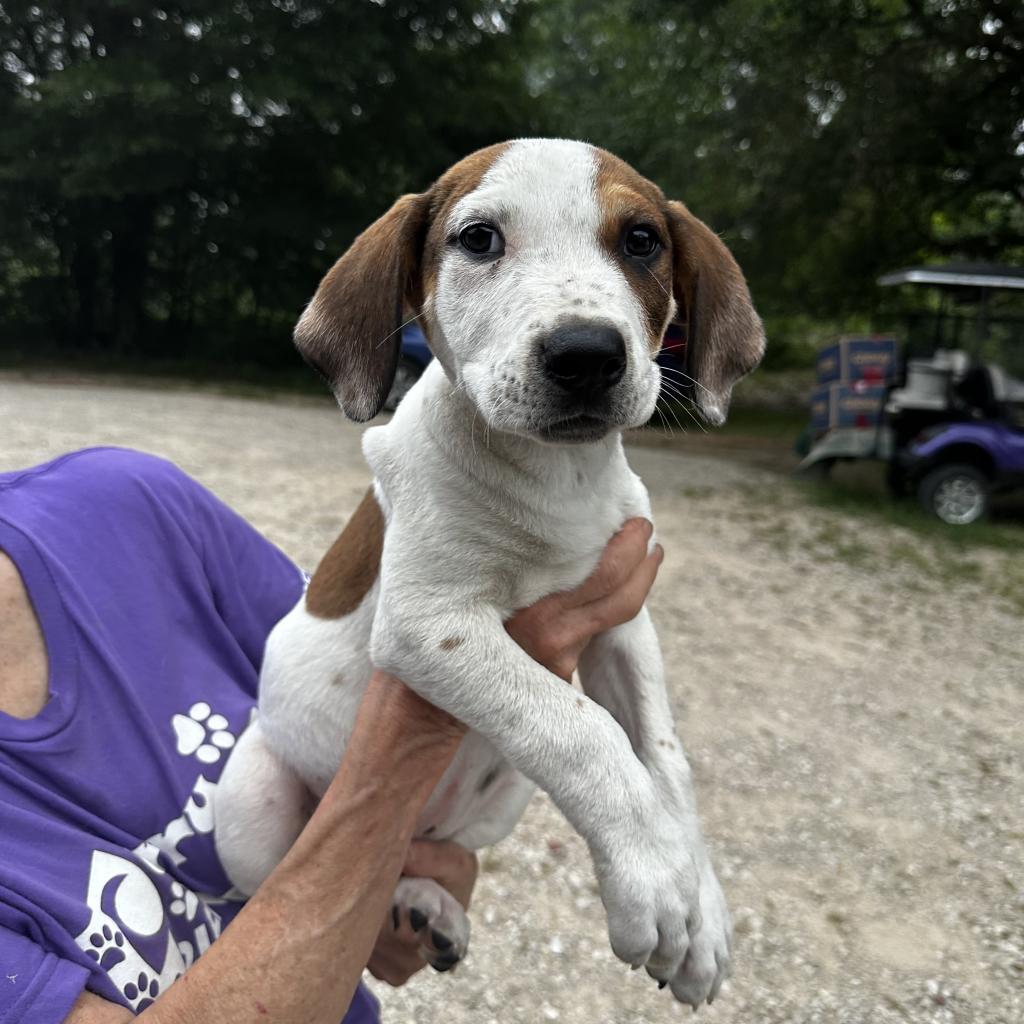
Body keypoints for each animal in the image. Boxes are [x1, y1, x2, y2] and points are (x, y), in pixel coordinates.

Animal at [216, 136, 761, 1007]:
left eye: (643, 240)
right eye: (478, 239)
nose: (586, 355)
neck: (555, 478)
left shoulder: (623, 619)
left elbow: (663, 755)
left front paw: (699, 906)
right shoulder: (428, 625)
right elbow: (582, 730)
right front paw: (651, 882)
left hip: (498, 799)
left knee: (411, 855)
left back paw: (425, 904)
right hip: (254, 794)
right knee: (278, 887)